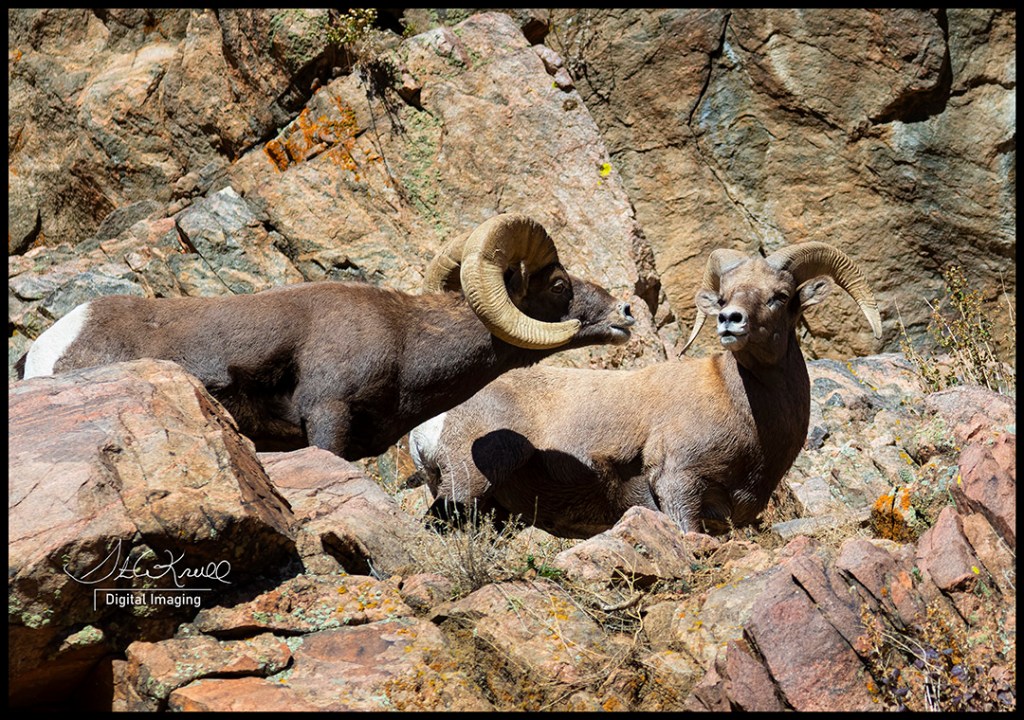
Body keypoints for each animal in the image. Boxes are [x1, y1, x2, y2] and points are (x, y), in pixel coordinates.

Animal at [410, 241, 882, 537]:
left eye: (781, 296)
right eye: (725, 295)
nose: (729, 320)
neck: (747, 413)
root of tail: (428, 427)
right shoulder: (678, 483)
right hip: (469, 484)